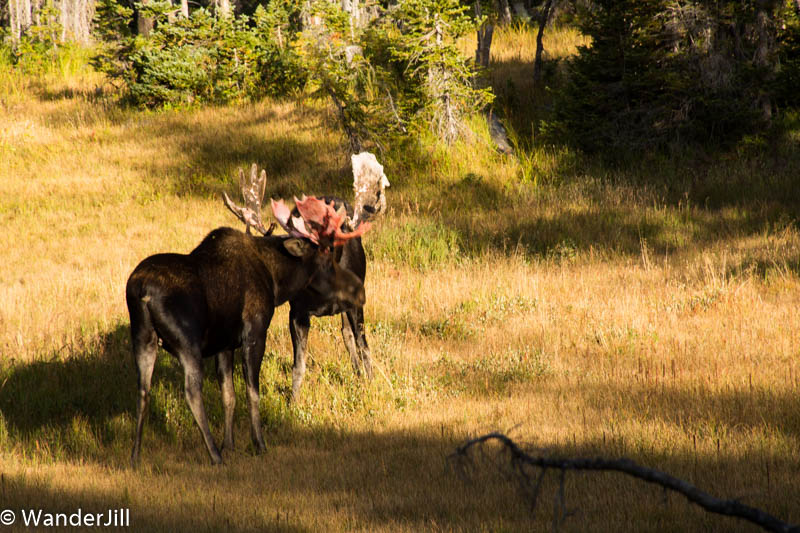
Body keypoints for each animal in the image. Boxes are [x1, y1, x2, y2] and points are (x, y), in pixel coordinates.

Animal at [126, 164, 370, 466]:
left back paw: (136, 456)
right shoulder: (254, 332)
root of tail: (142, 292)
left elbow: (228, 395)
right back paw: (214, 455)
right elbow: (252, 392)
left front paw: (230, 443)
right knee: (191, 392)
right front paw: (258, 443)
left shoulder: (224, 344)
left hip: (142, 338)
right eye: (325, 256)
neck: (276, 281)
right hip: (187, 342)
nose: (358, 290)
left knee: (142, 391)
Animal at [224, 153, 390, 402]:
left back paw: (359, 373)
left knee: (349, 335)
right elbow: (298, 364)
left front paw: (371, 384)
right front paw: (294, 401)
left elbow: (364, 346)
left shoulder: (356, 303)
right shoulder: (297, 312)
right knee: (344, 334)